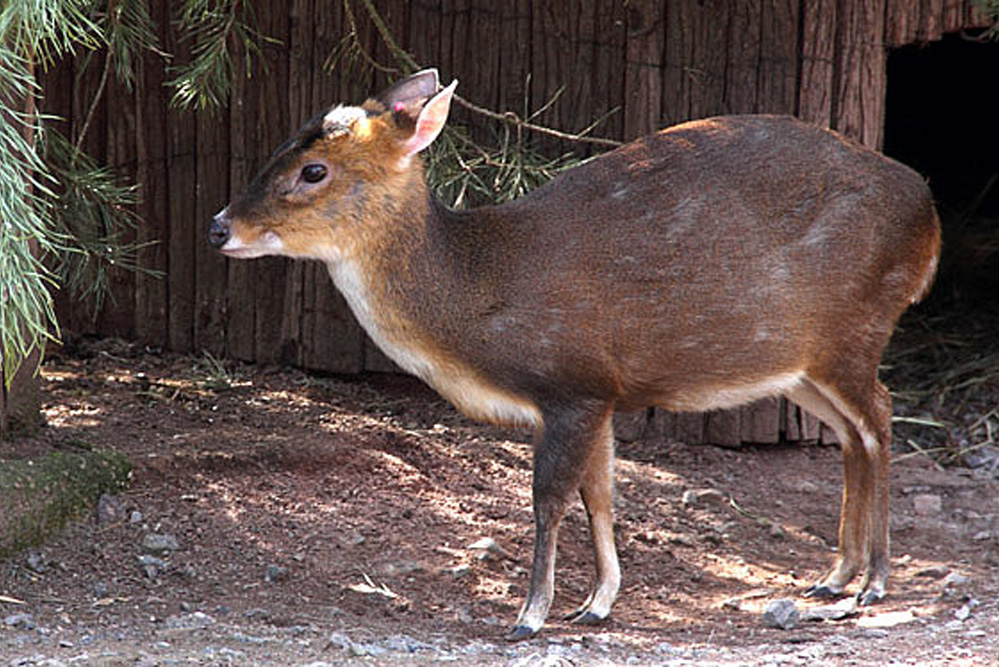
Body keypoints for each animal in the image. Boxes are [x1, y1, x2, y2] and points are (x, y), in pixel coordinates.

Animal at [207, 70, 940, 640]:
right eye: (278, 147)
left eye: (313, 170)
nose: (219, 226)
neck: (477, 292)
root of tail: (929, 214)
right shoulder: (600, 396)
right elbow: (601, 495)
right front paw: (596, 604)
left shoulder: (571, 381)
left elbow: (551, 497)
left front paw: (528, 615)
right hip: (800, 361)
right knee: (851, 434)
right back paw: (833, 576)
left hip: (854, 328)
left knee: (880, 417)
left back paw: (873, 583)